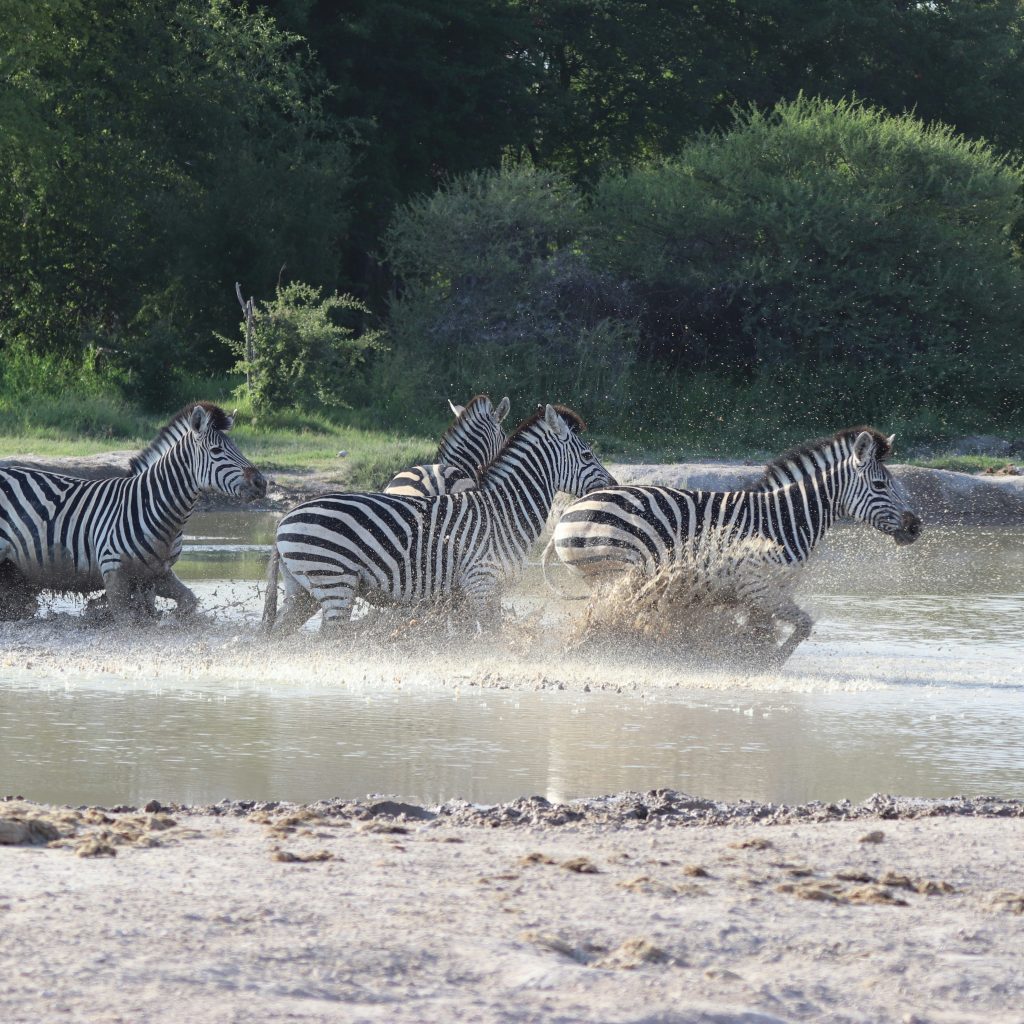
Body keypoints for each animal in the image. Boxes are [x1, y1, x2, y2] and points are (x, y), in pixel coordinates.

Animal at [0, 403, 266, 622]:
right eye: (216, 451)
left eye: (237, 448)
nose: (262, 483)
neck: (154, 507)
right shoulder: (114, 573)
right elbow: (128, 623)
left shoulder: (156, 573)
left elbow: (187, 602)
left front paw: (166, 621)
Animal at [262, 403, 615, 633]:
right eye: (587, 455)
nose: (612, 484)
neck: (504, 511)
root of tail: (285, 518)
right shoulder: (482, 582)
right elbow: (493, 639)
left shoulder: (461, 596)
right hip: (334, 581)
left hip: (302, 590)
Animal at [543, 427, 922, 663]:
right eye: (879, 485)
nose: (916, 527)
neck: (787, 518)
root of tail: (570, 510)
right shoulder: (758, 586)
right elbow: (801, 625)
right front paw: (767, 664)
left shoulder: (765, 591)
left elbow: (769, 630)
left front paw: (744, 658)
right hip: (617, 571)